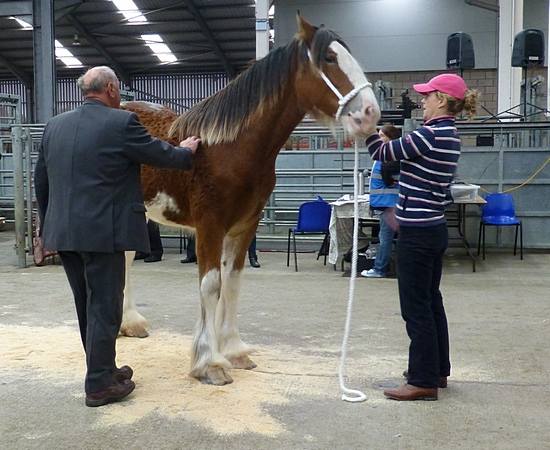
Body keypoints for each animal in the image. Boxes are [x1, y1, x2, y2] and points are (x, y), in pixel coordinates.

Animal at [121, 15, 382, 384]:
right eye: (329, 58)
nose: (370, 113)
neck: (230, 147)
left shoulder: (245, 225)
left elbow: (232, 283)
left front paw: (234, 350)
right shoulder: (210, 225)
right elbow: (211, 286)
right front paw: (210, 363)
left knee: (127, 258)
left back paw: (129, 323)